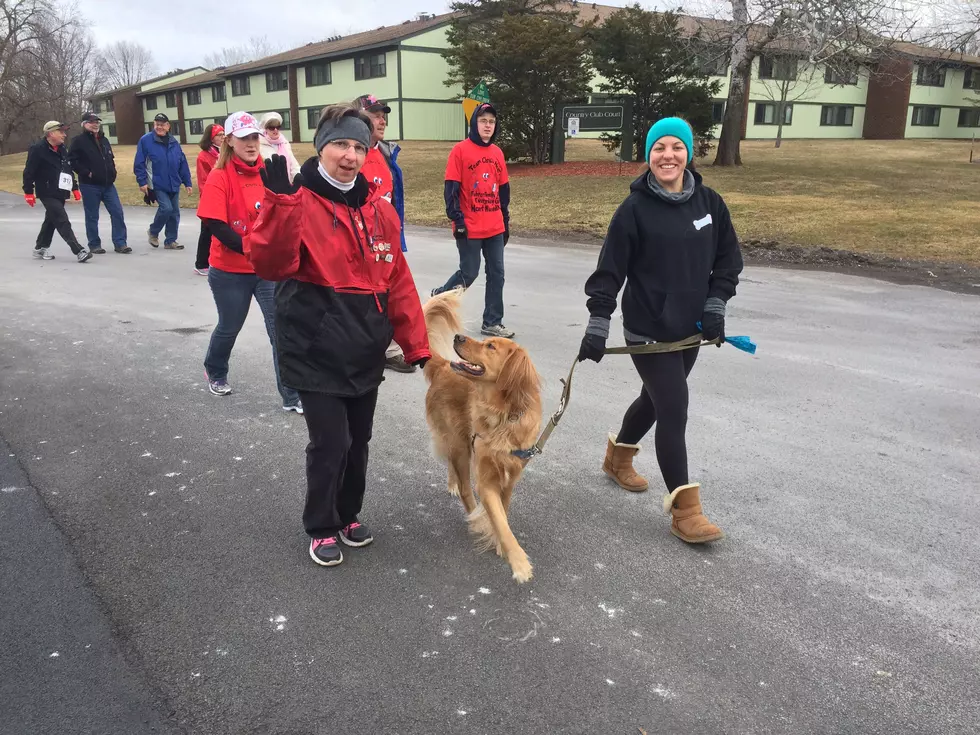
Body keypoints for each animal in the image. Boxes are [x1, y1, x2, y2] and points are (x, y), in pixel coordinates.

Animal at [422, 290, 544, 584]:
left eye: (491, 346)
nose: (458, 337)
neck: (502, 415)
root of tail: (444, 366)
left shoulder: (510, 477)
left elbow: (504, 513)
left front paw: (498, 540)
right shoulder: (486, 480)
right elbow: (500, 520)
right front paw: (518, 561)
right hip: (459, 443)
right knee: (466, 485)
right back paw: (470, 507)